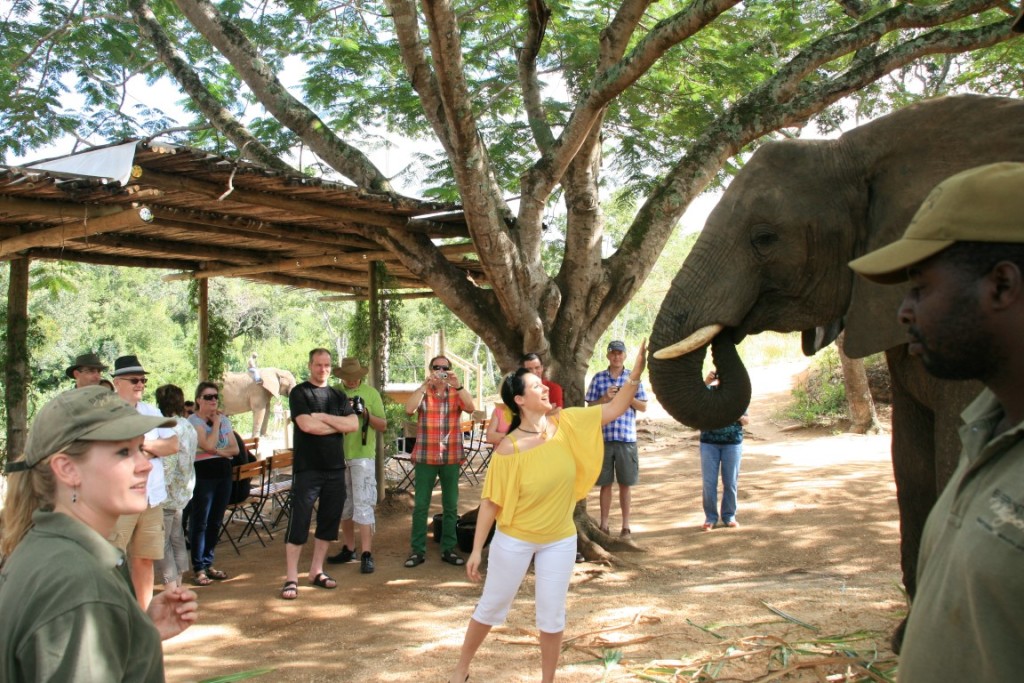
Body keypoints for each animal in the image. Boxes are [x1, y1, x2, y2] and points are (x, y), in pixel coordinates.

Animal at [647, 93, 1024, 638]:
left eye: (765, 238)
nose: (730, 333)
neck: (859, 150)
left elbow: (957, 452)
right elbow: (911, 461)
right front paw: (901, 637)